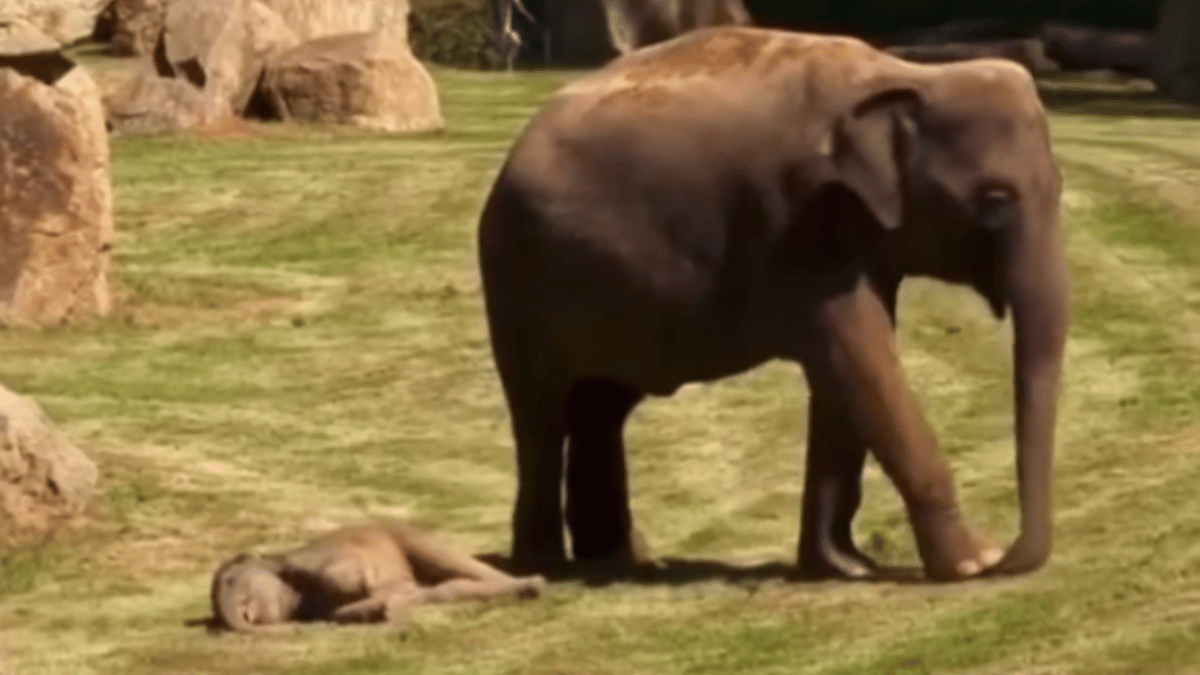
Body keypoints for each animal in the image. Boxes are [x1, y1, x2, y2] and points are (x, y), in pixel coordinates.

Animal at [476, 26, 1070, 582]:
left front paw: (846, 566)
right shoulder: (794, 219)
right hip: (515, 281)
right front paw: (968, 565)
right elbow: (860, 361)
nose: (1005, 557)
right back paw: (545, 567)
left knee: (599, 410)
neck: (905, 76)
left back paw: (624, 562)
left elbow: (845, 375)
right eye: (995, 203)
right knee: (541, 415)